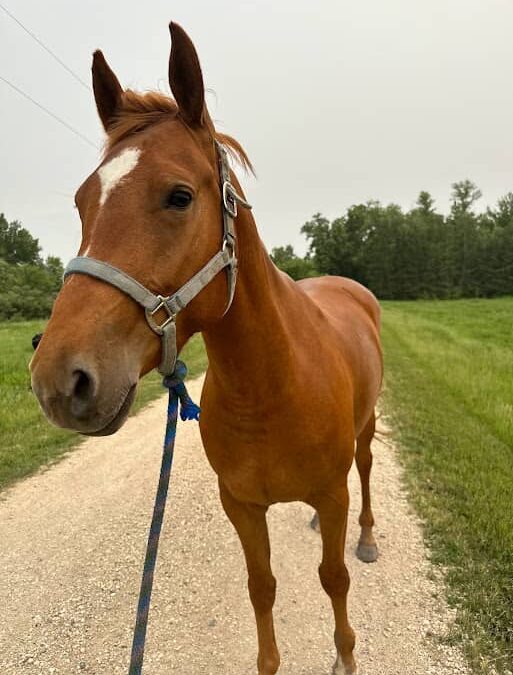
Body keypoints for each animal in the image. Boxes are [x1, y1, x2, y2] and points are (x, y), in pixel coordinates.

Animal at [30, 22, 383, 675]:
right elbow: (261, 587)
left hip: (367, 429)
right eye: (82, 202)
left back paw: (368, 537)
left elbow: (334, 578)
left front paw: (345, 656)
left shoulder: (332, 490)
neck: (272, 388)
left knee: (367, 472)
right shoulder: (240, 505)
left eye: (178, 196)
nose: (58, 381)